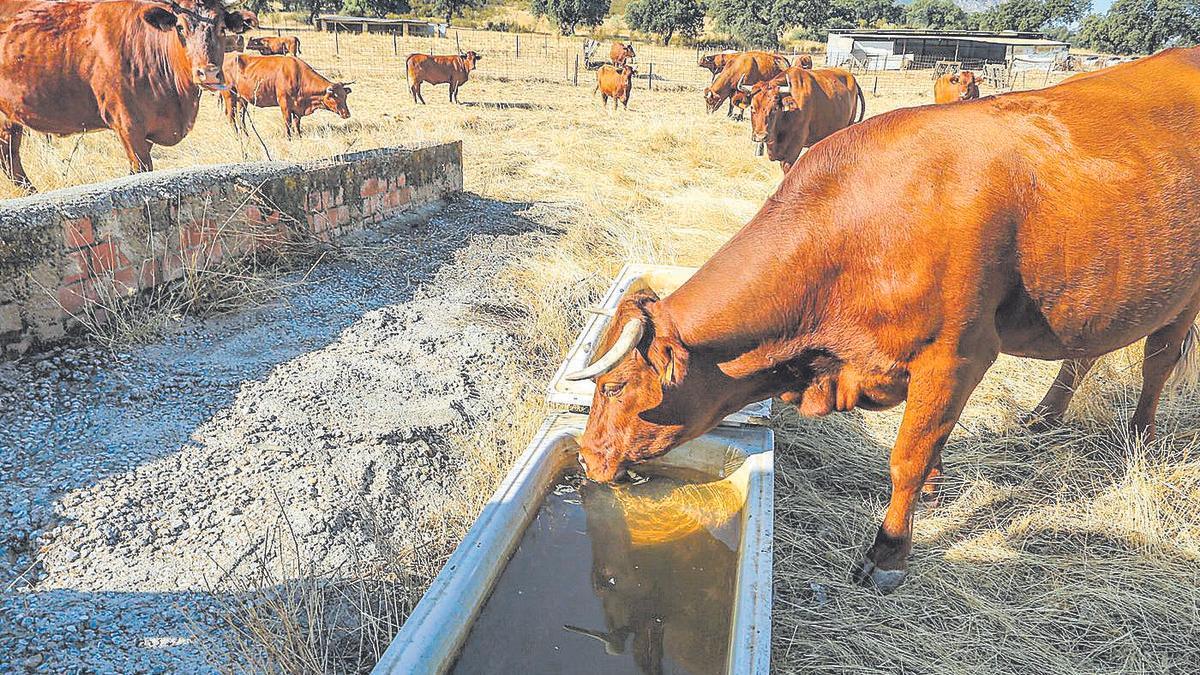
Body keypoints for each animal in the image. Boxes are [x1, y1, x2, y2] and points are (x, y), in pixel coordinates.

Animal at [0, 0, 249, 187]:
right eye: (180, 28)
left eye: (222, 28)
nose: (208, 73)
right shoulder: (128, 125)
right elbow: (142, 169)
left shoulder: (147, 132)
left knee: (10, 158)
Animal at [220, 53, 350, 138]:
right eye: (335, 97)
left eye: (345, 96)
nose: (347, 114)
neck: (298, 75)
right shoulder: (284, 104)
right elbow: (288, 122)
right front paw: (289, 138)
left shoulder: (297, 107)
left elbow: (297, 123)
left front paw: (299, 136)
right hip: (229, 96)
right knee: (230, 116)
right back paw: (237, 136)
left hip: (241, 99)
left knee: (240, 116)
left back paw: (247, 136)